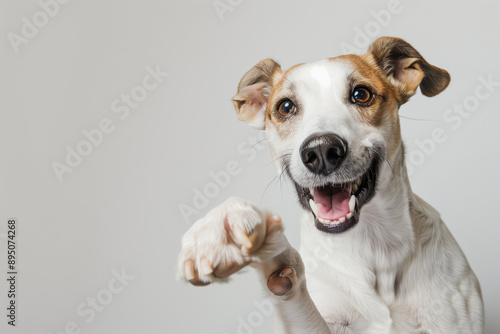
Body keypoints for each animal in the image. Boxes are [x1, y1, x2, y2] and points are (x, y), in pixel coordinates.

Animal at [177, 37, 484, 332]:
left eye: (361, 94)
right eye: (285, 107)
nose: (321, 151)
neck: (374, 247)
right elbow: (287, 272)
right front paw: (221, 228)